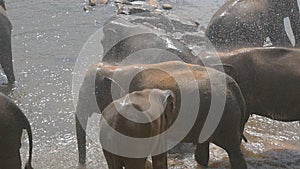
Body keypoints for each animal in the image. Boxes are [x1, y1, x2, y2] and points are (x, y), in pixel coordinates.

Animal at [75, 61, 248, 169]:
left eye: (87, 95)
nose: (82, 165)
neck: (114, 68)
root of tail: (234, 85)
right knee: (203, 150)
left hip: (226, 117)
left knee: (232, 150)